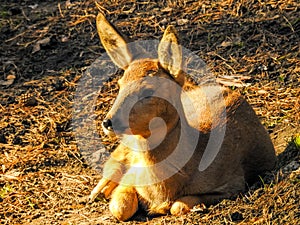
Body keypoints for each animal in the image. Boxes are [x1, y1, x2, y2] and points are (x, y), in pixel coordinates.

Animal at [88, 13, 276, 221]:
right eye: (120, 85)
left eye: (148, 91)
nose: (108, 122)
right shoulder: (130, 178)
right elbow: (121, 207)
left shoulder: (234, 182)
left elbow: (178, 206)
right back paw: (97, 192)